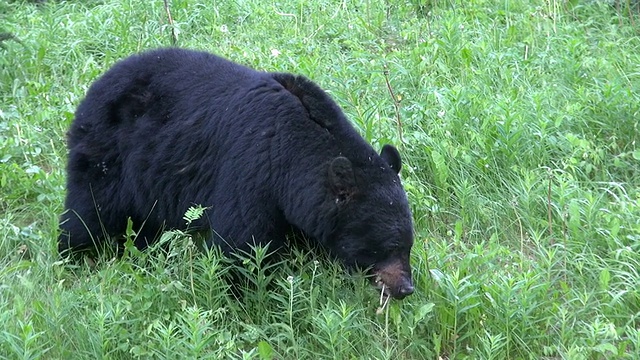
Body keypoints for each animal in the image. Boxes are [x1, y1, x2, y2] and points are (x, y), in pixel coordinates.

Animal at [57, 48, 412, 300]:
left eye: (409, 242)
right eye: (389, 244)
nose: (406, 288)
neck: (293, 153)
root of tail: (95, 85)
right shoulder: (251, 171)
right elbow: (241, 244)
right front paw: (244, 297)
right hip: (107, 156)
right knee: (90, 212)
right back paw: (74, 259)